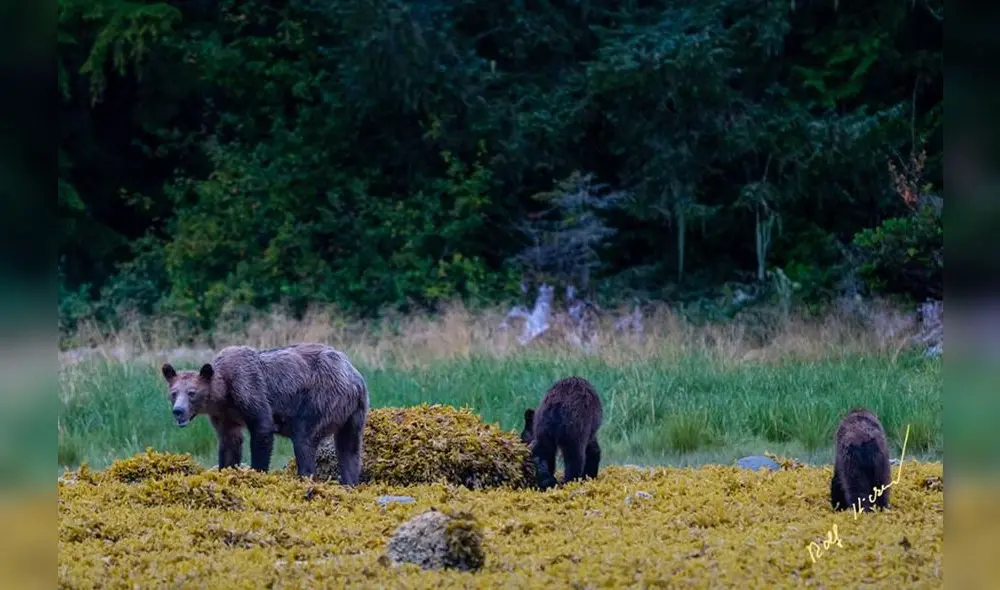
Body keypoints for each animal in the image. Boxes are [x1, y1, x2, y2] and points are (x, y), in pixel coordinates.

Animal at [160, 342, 370, 484]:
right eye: (174, 393)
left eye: (192, 393)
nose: (178, 411)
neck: (224, 394)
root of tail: (354, 377)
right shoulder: (224, 415)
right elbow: (230, 441)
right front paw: (226, 470)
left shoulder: (249, 388)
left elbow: (262, 429)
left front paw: (256, 471)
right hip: (354, 414)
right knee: (349, 448)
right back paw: (350, 481)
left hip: (321, 398)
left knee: (304, 439)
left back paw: (305, 477)